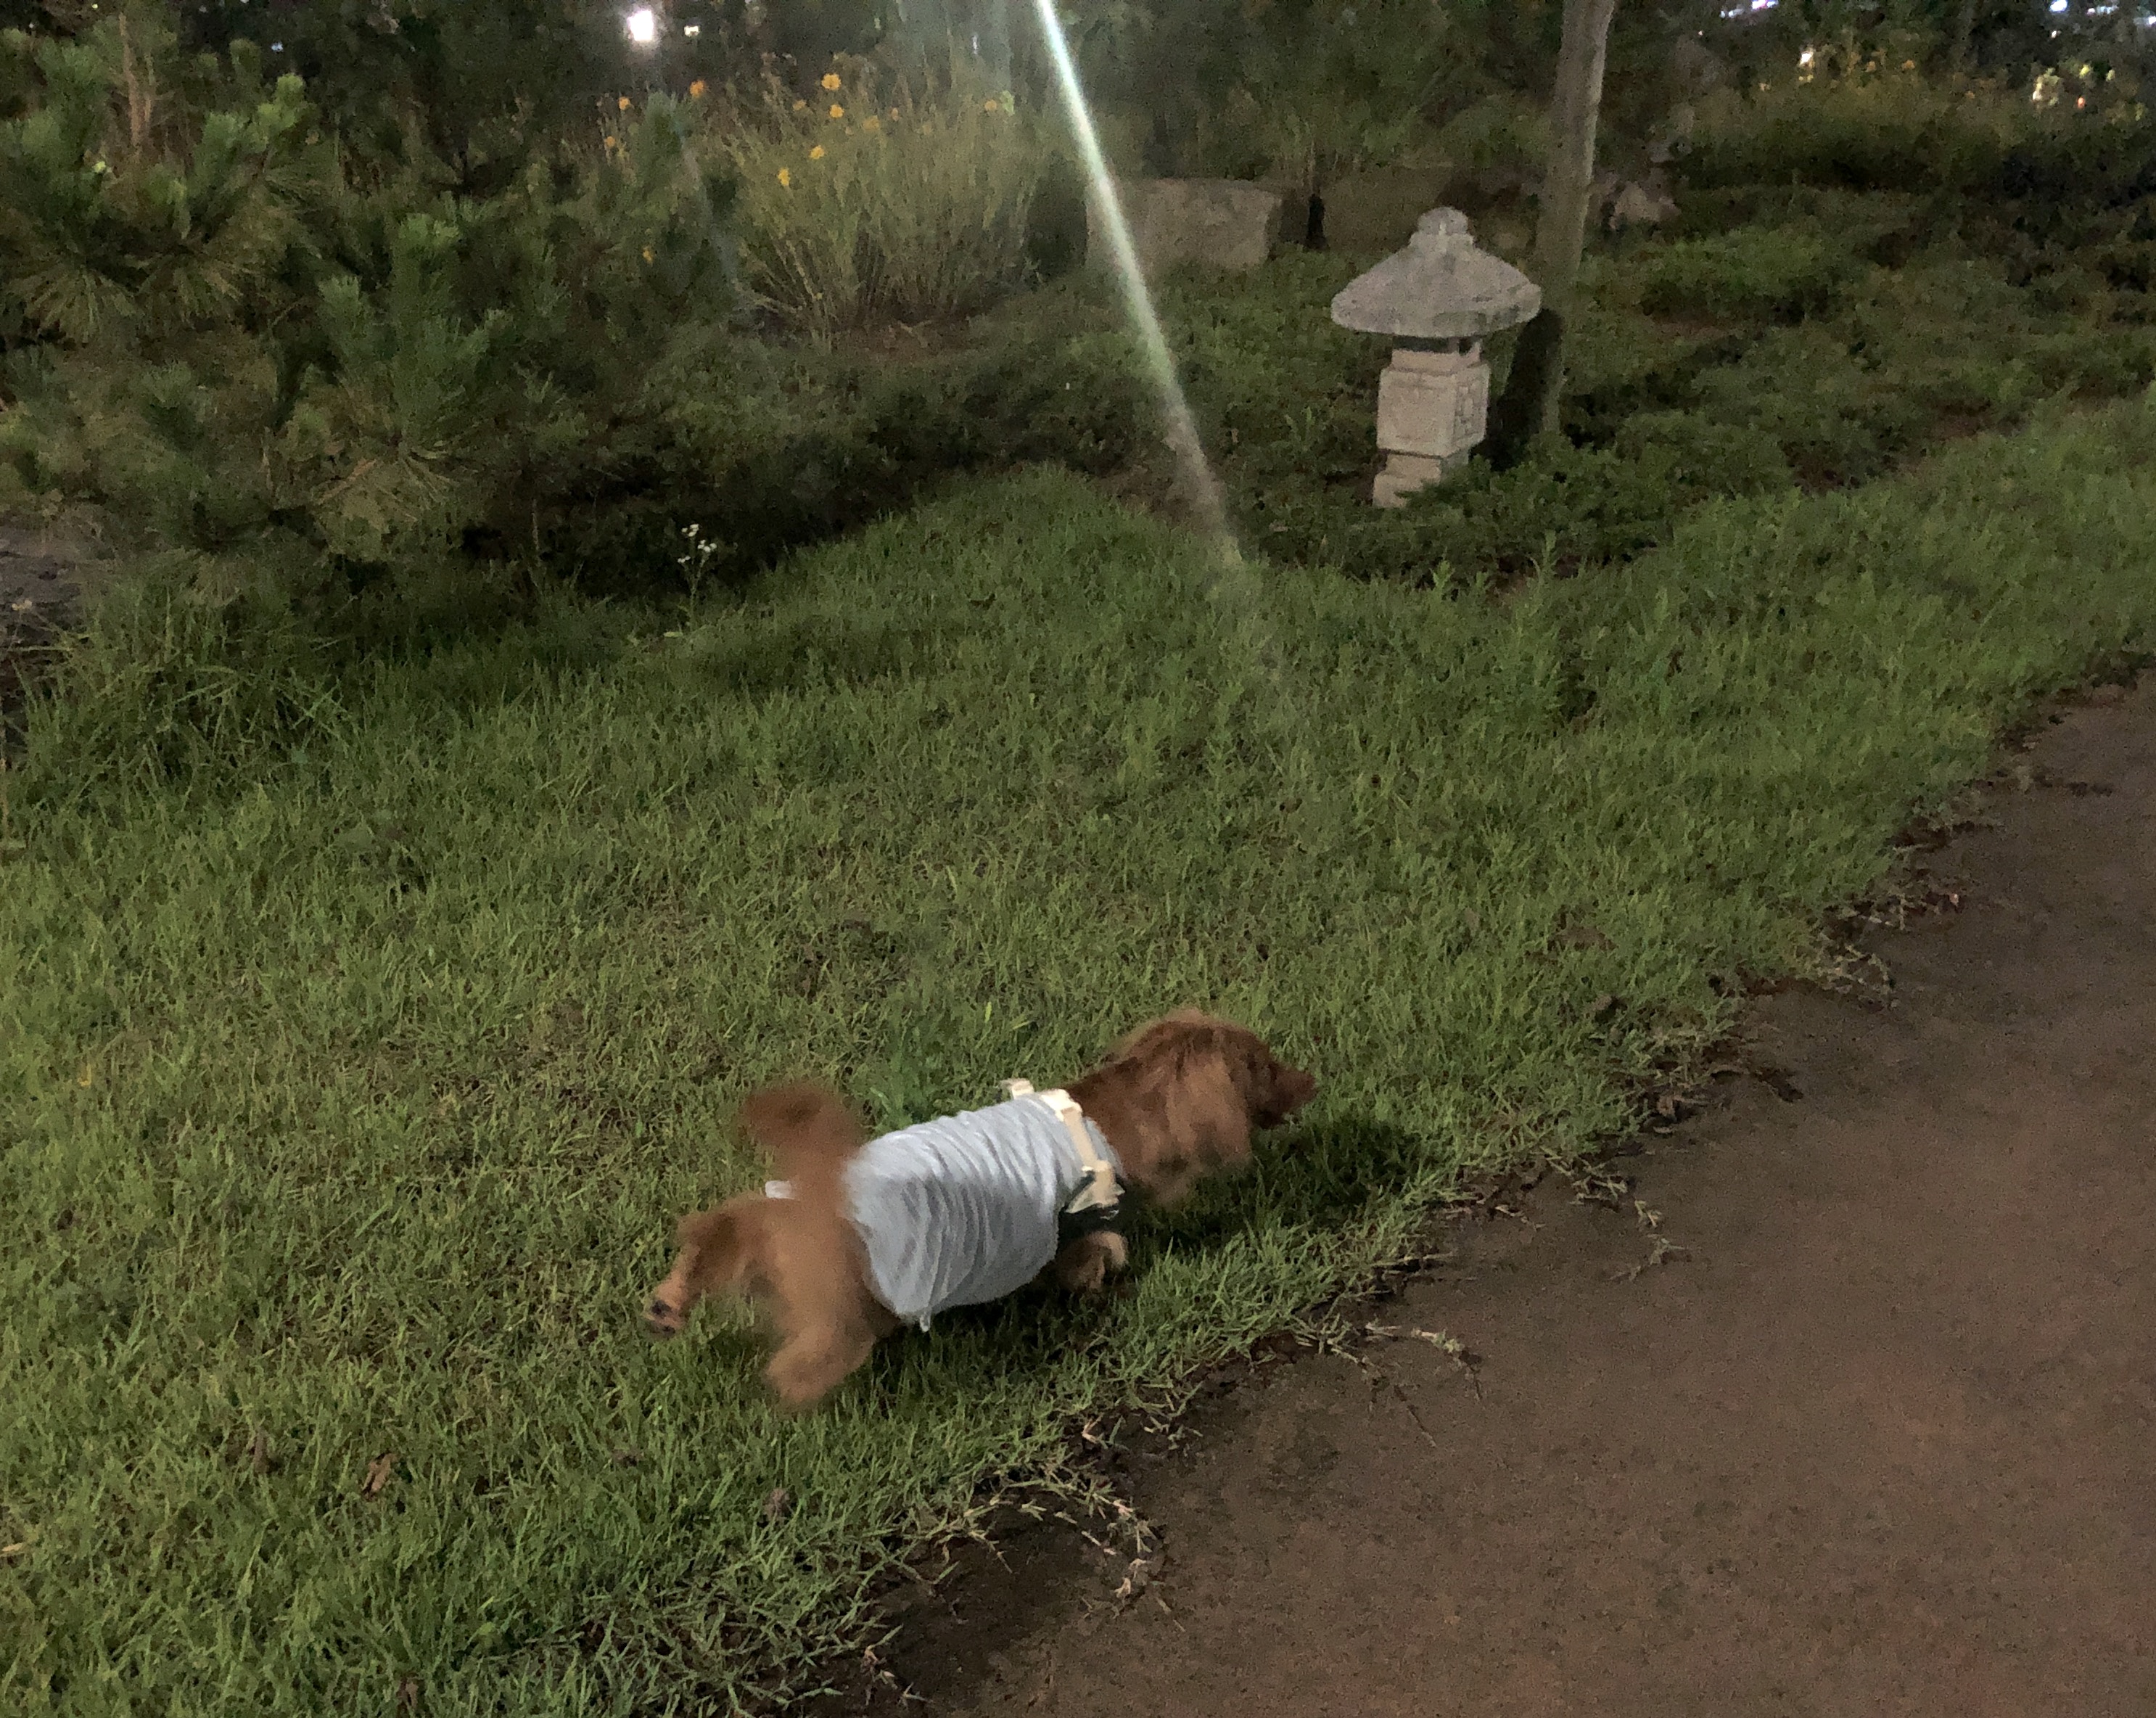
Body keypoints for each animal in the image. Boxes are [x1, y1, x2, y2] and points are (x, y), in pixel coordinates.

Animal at [645, 1011, 1317, 1406]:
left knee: (708, 1237)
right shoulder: (1078, 1231)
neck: (1106, 1122)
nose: (1314, 1080)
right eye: (1266, 1065)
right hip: (845, 1317)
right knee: (798, 1367)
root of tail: (818, 1194)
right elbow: (1097, 1258)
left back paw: (668, 1307)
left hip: (753, 1226)